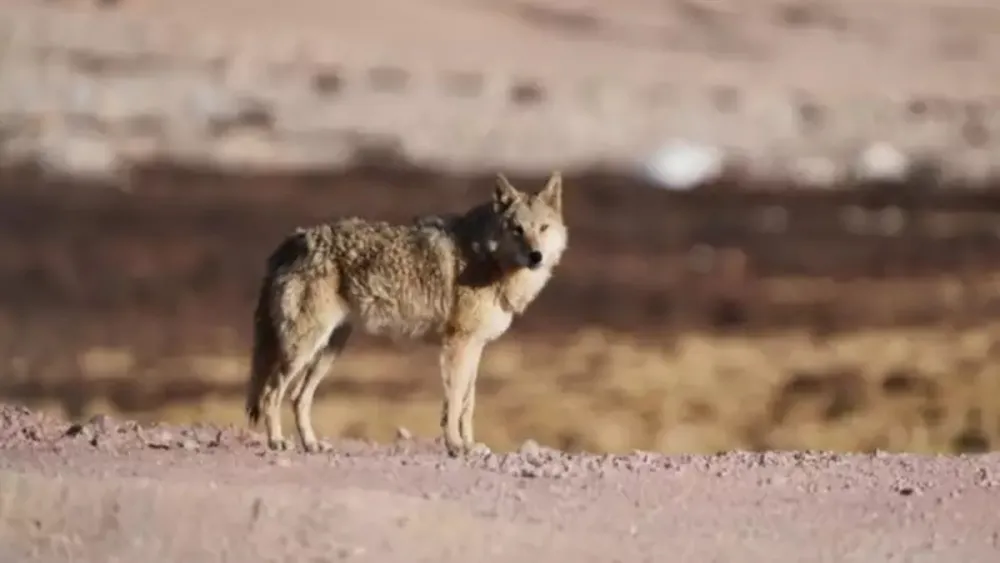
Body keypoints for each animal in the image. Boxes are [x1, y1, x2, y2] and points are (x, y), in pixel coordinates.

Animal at [242, 172, 568, 458]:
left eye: (543, 228)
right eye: (517, 229)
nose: (535, 256)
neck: (490, 260)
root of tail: (296, 238)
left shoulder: (476, 347)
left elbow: (468, 404)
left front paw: (470, 445)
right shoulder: (457, 345)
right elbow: (453, 402)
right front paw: (455, 446)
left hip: (329, 349)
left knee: (298, 397)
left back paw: (311, 444)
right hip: (303, 348)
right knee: (271, 392)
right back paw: (277, 442)